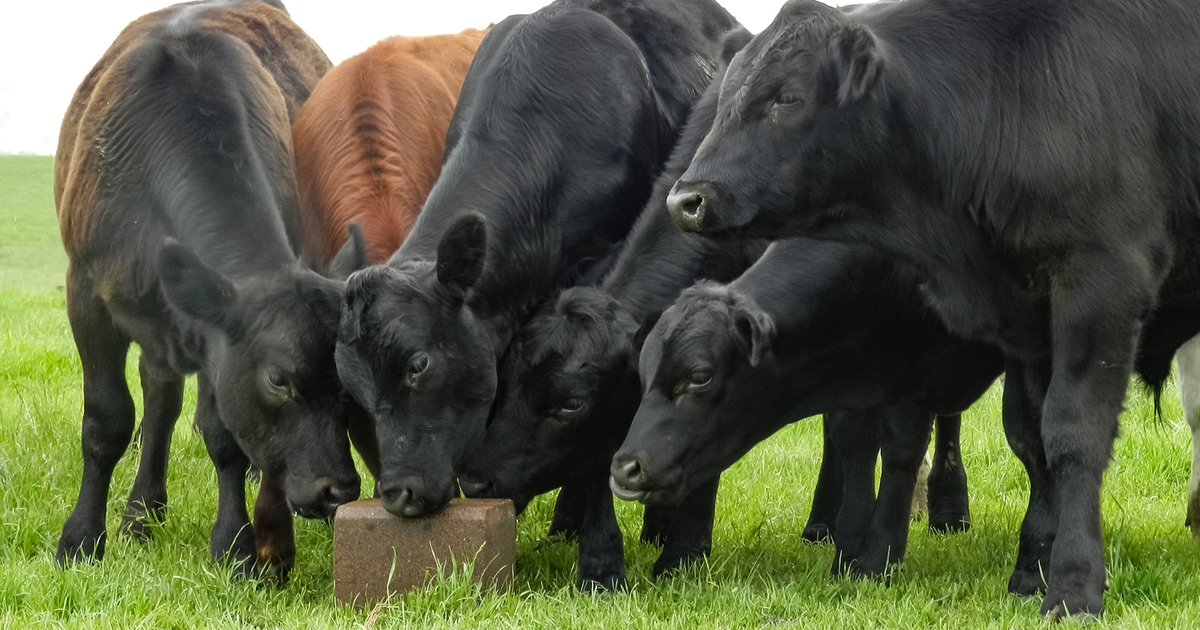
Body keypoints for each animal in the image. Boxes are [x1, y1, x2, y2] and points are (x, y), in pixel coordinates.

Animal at [53, 0, 363, 579]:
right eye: (278, 379)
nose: (339, 490)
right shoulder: (86, 295)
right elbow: (107, 422)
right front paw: (81, 540)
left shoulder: (218, 336)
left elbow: (224, 436)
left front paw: (236, 546)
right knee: (159, 397)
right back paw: (141, 515)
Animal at [610, 239, 1003, 579]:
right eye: (641, 374)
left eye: (700, 376)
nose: (625, 468)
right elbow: (852, 440)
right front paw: (848, 550)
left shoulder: (914, 367)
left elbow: (901, 450)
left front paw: (877, 560)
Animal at [659, 0, 1200, 617]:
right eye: (727, 94)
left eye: (787, 96)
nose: (685, 199)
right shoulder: (1029, 323)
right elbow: (1035, 438)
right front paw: (1031, 567)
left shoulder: (1103, 281)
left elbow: (1074, 433)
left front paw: (1073, 584)